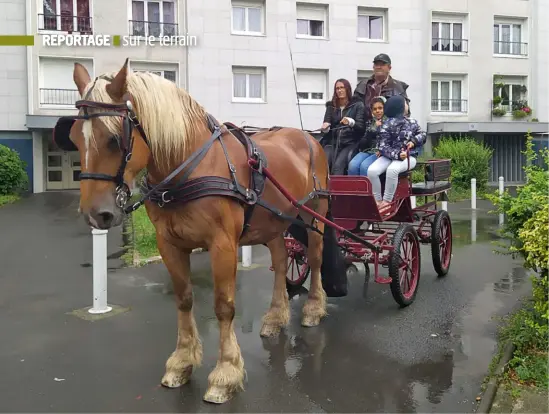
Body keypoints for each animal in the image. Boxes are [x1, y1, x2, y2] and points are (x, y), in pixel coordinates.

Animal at [62, 59, 332, 402]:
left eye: (113, 138)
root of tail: (308, 138)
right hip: (273, 221)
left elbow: (224, 306)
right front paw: (182, 362)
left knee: (316, 257)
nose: (95, 215)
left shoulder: (223, 245)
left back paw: (313, 308)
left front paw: (226, 373)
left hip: (316, 215)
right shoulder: (169, 244)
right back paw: (275, 316)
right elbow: (184, 299)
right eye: (74, 137)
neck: (188, 167)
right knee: (282, 261)